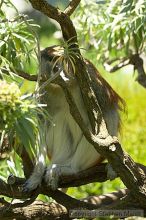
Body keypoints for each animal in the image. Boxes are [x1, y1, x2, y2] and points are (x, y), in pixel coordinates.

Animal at [23, 45, 124, 192]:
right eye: (53, 61)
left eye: (64, 60)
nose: (59, 70)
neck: (65, 86)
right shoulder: (43, 88)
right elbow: (42, 125)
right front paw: (35, 177)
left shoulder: (90, 78)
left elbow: (109, 112)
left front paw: (113, 163)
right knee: (58, 120)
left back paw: (71, 169)